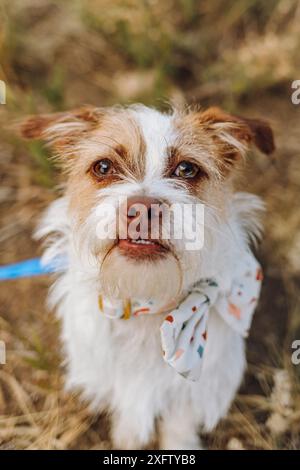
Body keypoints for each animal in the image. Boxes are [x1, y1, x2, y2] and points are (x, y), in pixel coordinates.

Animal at [19, 103, 274, 448]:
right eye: (103, 167)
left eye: (187, 169)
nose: (141, 210)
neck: (149, 300)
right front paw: (127, 437)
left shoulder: (200, 384)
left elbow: (180, 420)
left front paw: (179, 444)